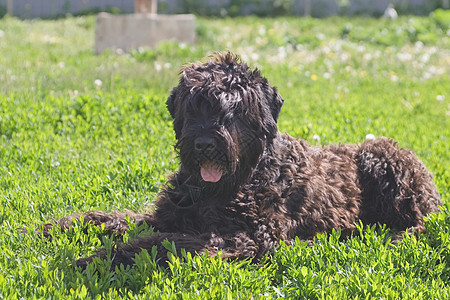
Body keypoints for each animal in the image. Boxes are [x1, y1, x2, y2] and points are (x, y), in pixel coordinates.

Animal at [44, 52, 440, 270]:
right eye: (193, 105)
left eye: (235, 110)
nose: (205, 143)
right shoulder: (168, 215)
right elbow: (119, 219)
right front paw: (62, 226)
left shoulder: (245, 237)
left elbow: (160, 242)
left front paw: (98, 259)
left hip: (385, 162)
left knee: (421, 223)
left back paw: (389, 238)